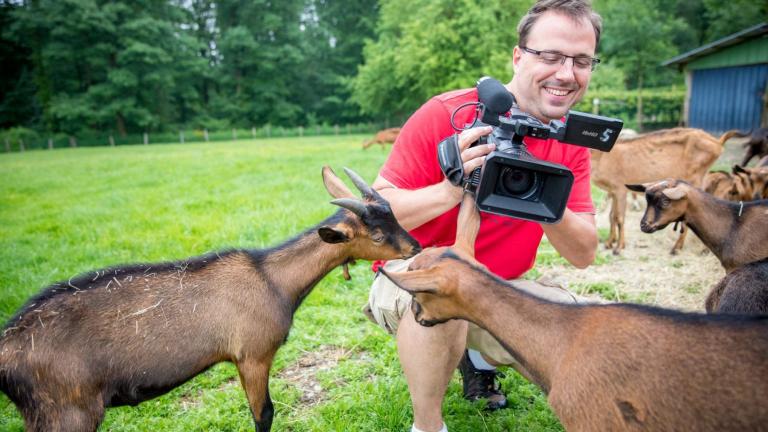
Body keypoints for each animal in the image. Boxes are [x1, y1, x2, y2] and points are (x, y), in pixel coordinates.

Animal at [0, 166, 420, 432]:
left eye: (393, 214)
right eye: (376, 235)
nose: (415, 246)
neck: (272, 279)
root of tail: (6, 350)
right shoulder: (252, 353)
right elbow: (264, 414)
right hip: (66, 409)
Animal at [588, 126, 736, 255]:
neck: (601, 158)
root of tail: (718, 142)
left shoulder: (620, 188)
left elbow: (619, 218)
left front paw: (619, 247)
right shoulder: (612, 191)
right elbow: (611, 216)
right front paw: (609, 243)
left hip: (694, 179)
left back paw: (677, 248)